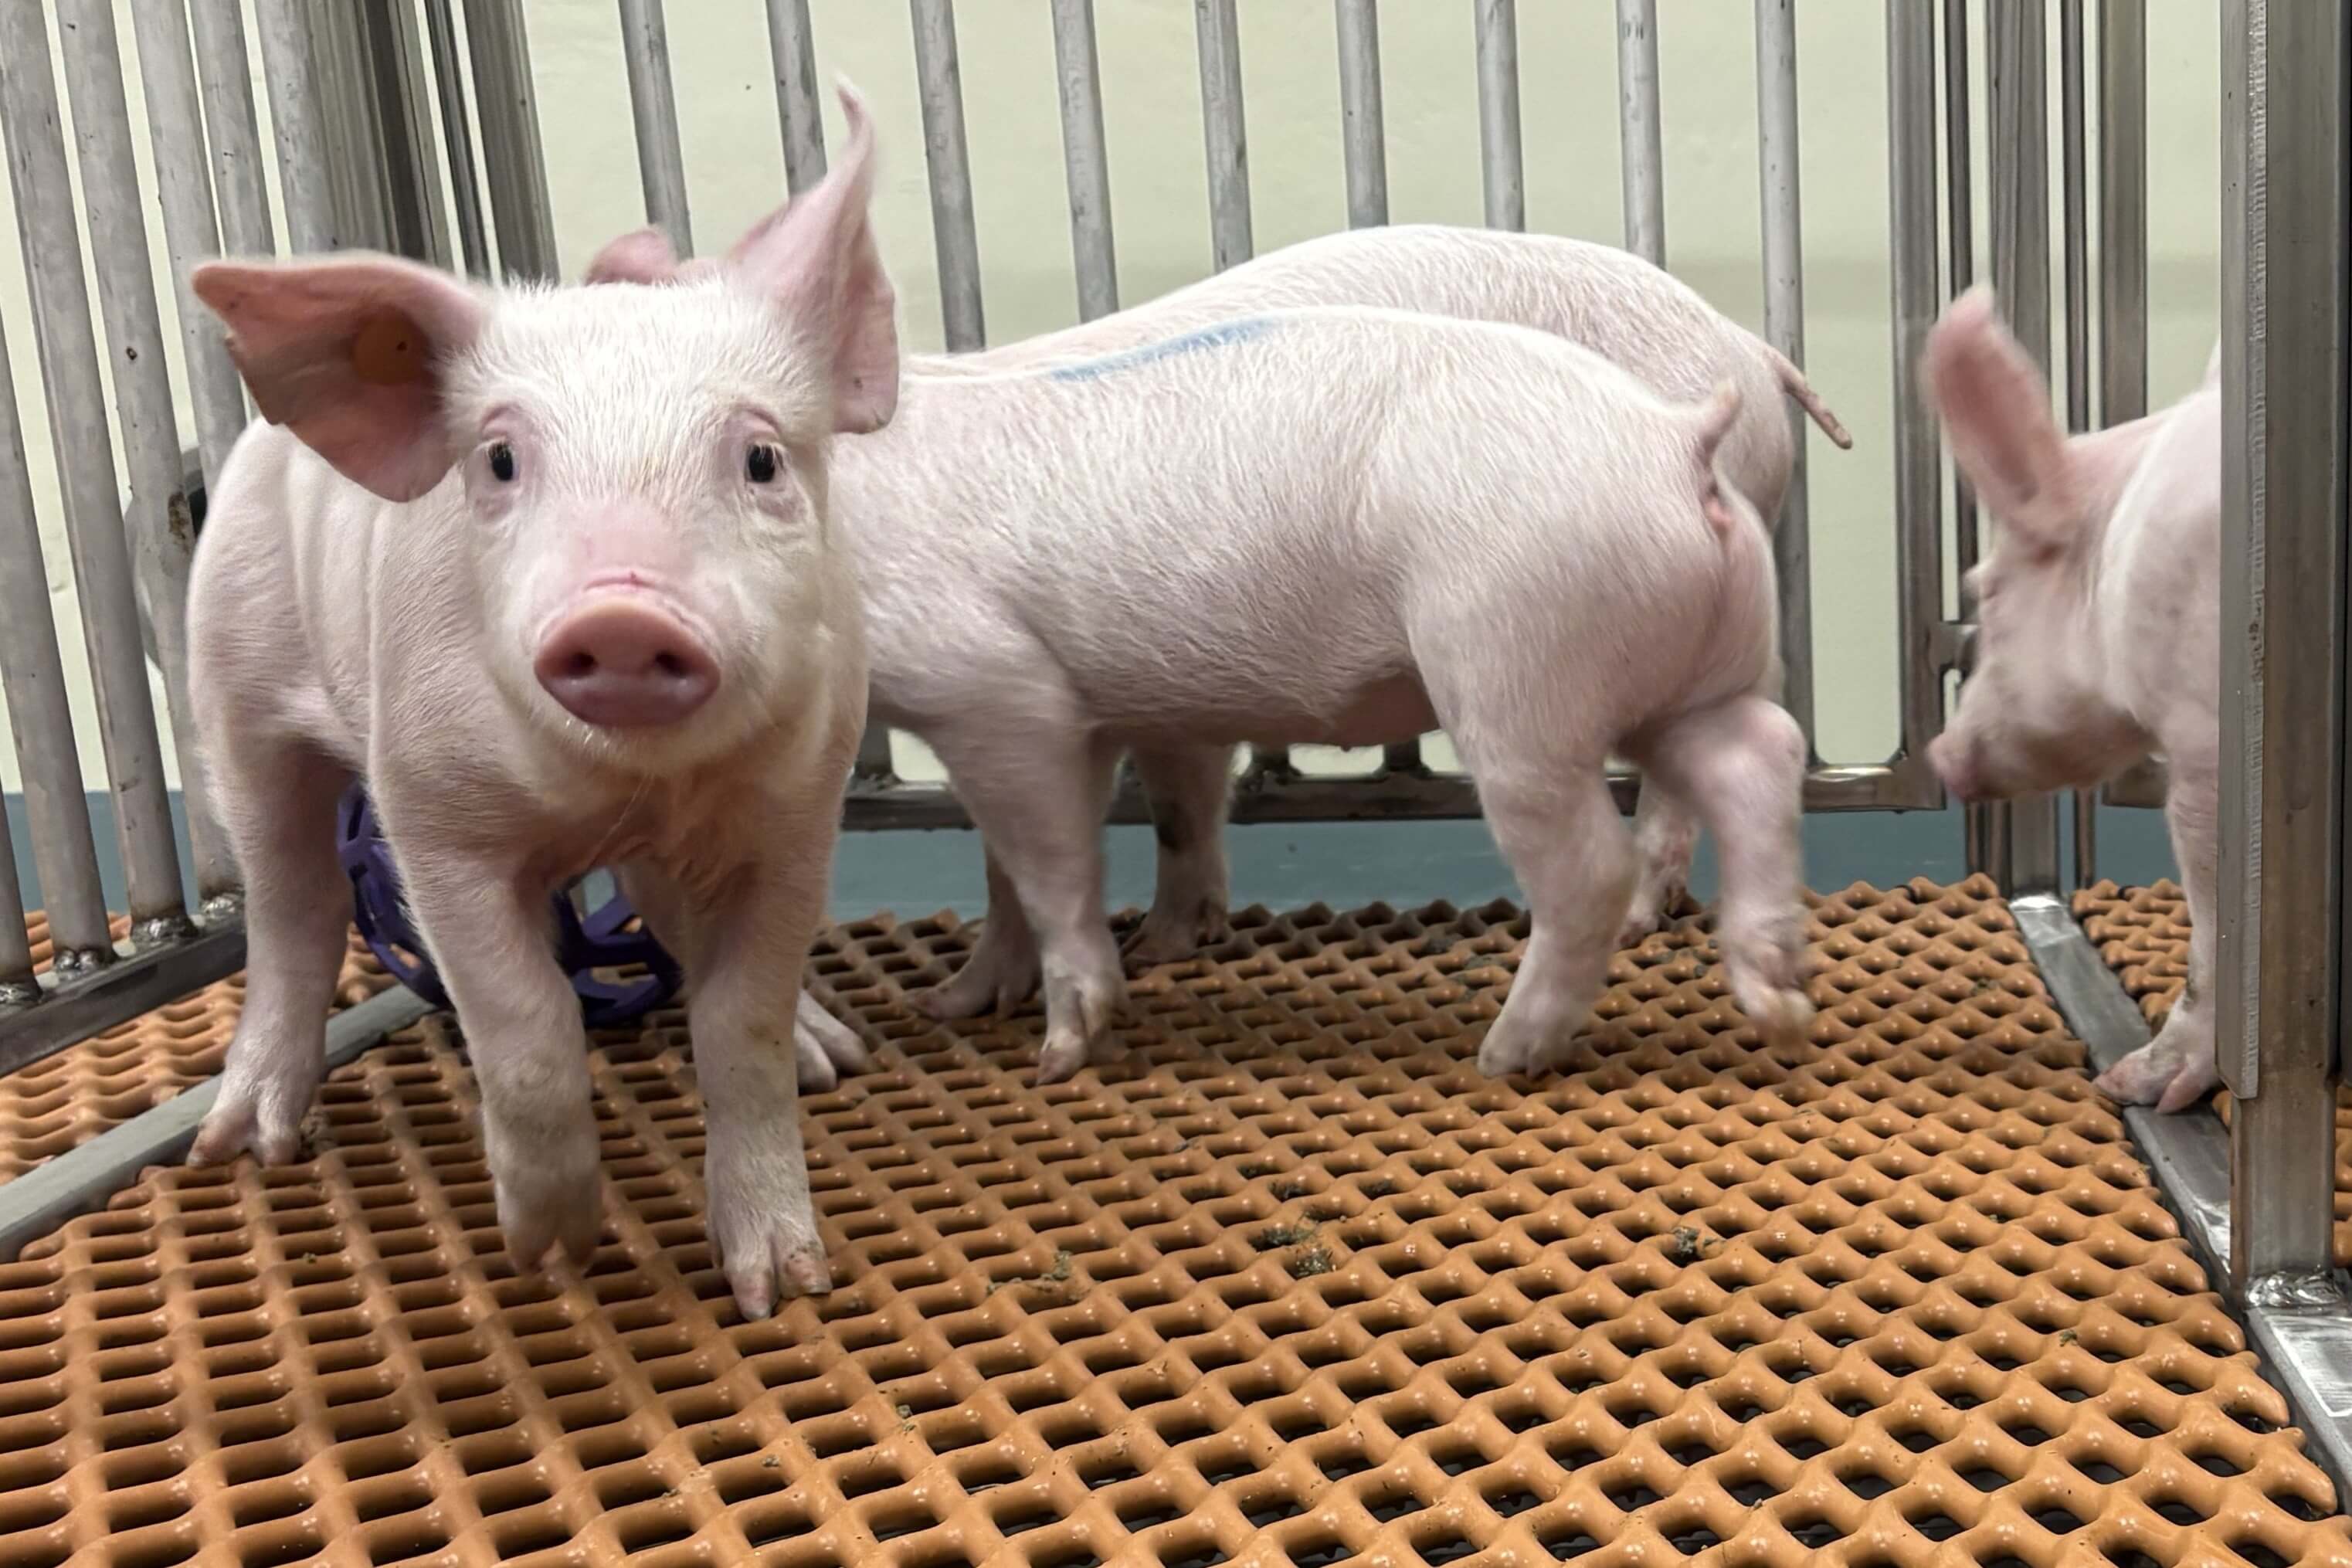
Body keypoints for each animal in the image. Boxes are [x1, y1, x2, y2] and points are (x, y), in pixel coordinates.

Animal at [181, 87, 895, 1317]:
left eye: (760, 459)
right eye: (502, 461)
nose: (624, 614)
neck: (622, 785)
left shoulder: (796, 803)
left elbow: (741, 1023)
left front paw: (784, 1285)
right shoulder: (433, 811)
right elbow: (522, 1028)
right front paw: (547, 1249)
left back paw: (829, 1054)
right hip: (236, 681)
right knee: (290, 903)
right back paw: (246, 1144)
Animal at [591, 223, 1848, 1084]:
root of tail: (1690, 426)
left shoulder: (994, 681)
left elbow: (1048, 860)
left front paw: (1058, 1048)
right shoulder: (1091, 709)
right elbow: (1058, 845)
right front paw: (965, 1004)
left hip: (1518, 665)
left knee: (1593, 857)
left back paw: (1506, 1048)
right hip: (1687, 664)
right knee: (1755, 755)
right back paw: (1774, 999)